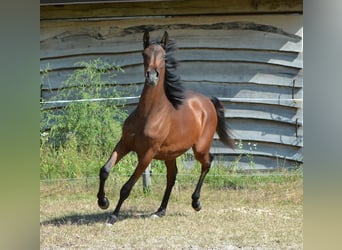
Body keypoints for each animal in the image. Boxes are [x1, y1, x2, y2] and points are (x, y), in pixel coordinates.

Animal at [97, 31, 234, 225]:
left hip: (199, 148)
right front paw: (103, 202)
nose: (152, 77)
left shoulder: (147, 154)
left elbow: (127, 187)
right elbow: (104, 170)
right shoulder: (124, 144)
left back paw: (196, 202)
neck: (148, 114)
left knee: (207, 162)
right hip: (170, 154)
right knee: (172, 176)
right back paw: (160, 210)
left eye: (163, 56)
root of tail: (207, 101)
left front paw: (113, 216)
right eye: (144, 54)